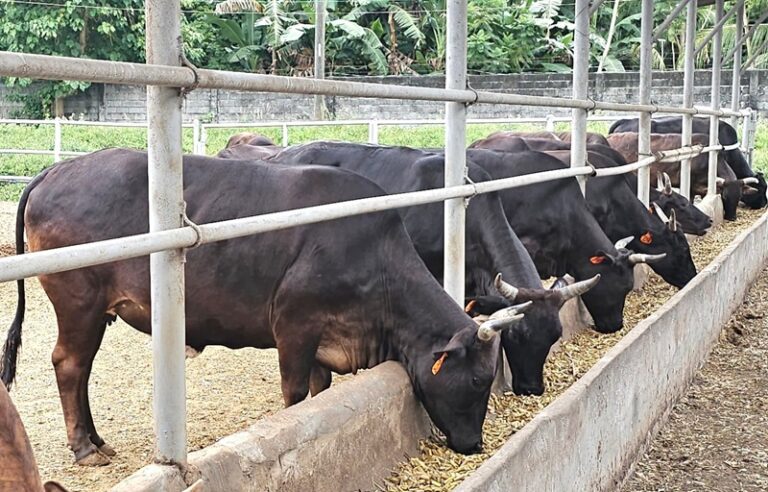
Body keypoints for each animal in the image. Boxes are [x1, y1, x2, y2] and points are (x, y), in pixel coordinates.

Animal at [1, 149, 530, 463]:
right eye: (478, 380)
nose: (474, 445)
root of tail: (58, 169)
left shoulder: (321, 346)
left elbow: (319, 389)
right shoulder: (294, 327)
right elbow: (295, 395)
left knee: (80, 367)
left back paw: (95, 438)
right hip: (78, 301)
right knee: (69, 364)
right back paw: (84, 447)